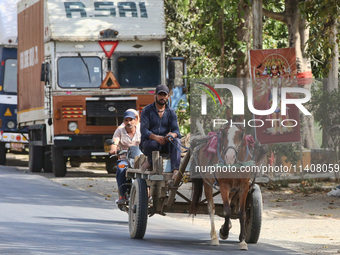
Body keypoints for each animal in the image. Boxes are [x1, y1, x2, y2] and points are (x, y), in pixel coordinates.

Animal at [191, 108, 266, 250]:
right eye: (224, 132)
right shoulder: (224, 185)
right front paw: (224, 231)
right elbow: (226, 210)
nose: (229, 157)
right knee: (211, 207)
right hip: (208, 183)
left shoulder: (244, 187)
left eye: (241, 134)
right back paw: (214, 237)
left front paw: (243, 241)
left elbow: (241, 213)